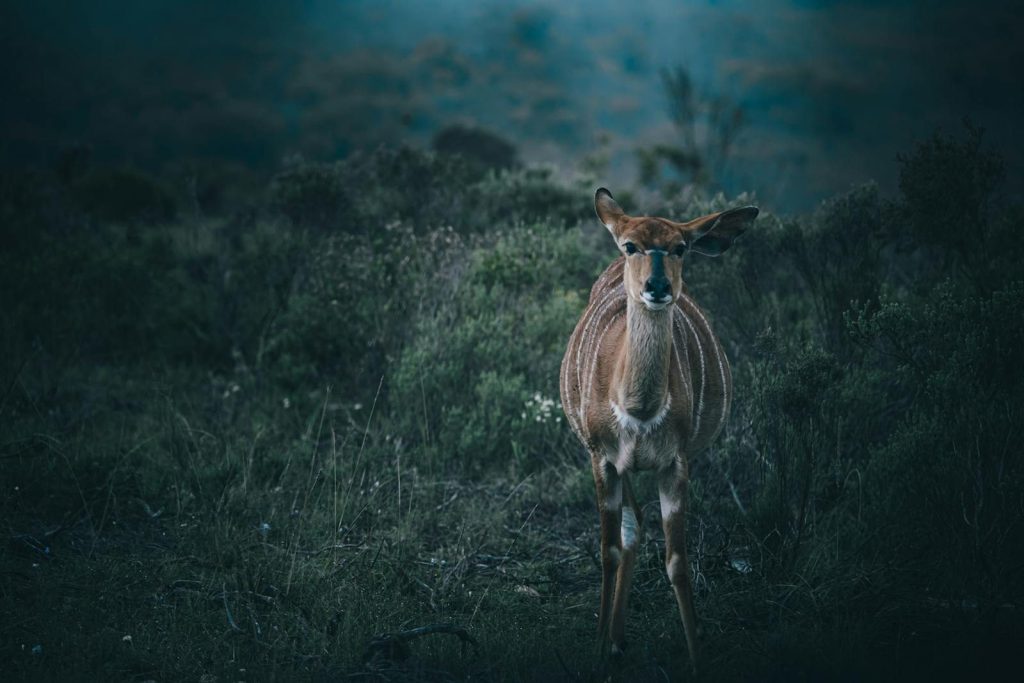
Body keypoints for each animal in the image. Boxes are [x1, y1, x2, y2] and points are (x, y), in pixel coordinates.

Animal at [559, 188, 758, 669]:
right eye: (630, 245)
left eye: (680, 248)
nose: (658, 287)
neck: (639, 406)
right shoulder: (603, 458)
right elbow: (609, 549)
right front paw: (598, 648)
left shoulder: (675, 463)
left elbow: (677, 561)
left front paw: (698, 655)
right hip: (619, 466)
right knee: (631, 529)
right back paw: (612, 639)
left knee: (639, 526)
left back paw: (621, 638)